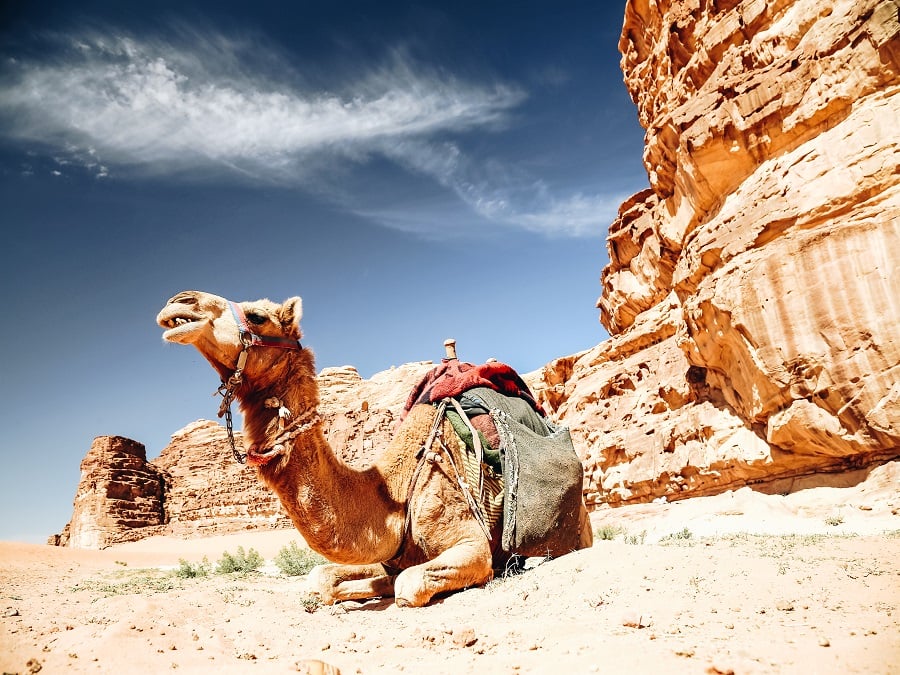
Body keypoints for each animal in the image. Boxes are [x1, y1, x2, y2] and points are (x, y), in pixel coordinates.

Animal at [156, 290, 592, 608]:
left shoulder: (472, 544)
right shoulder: (384, 554)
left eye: (257, 316)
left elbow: (407, 586)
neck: (396, 494)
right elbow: (322, 578)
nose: (179, 302)